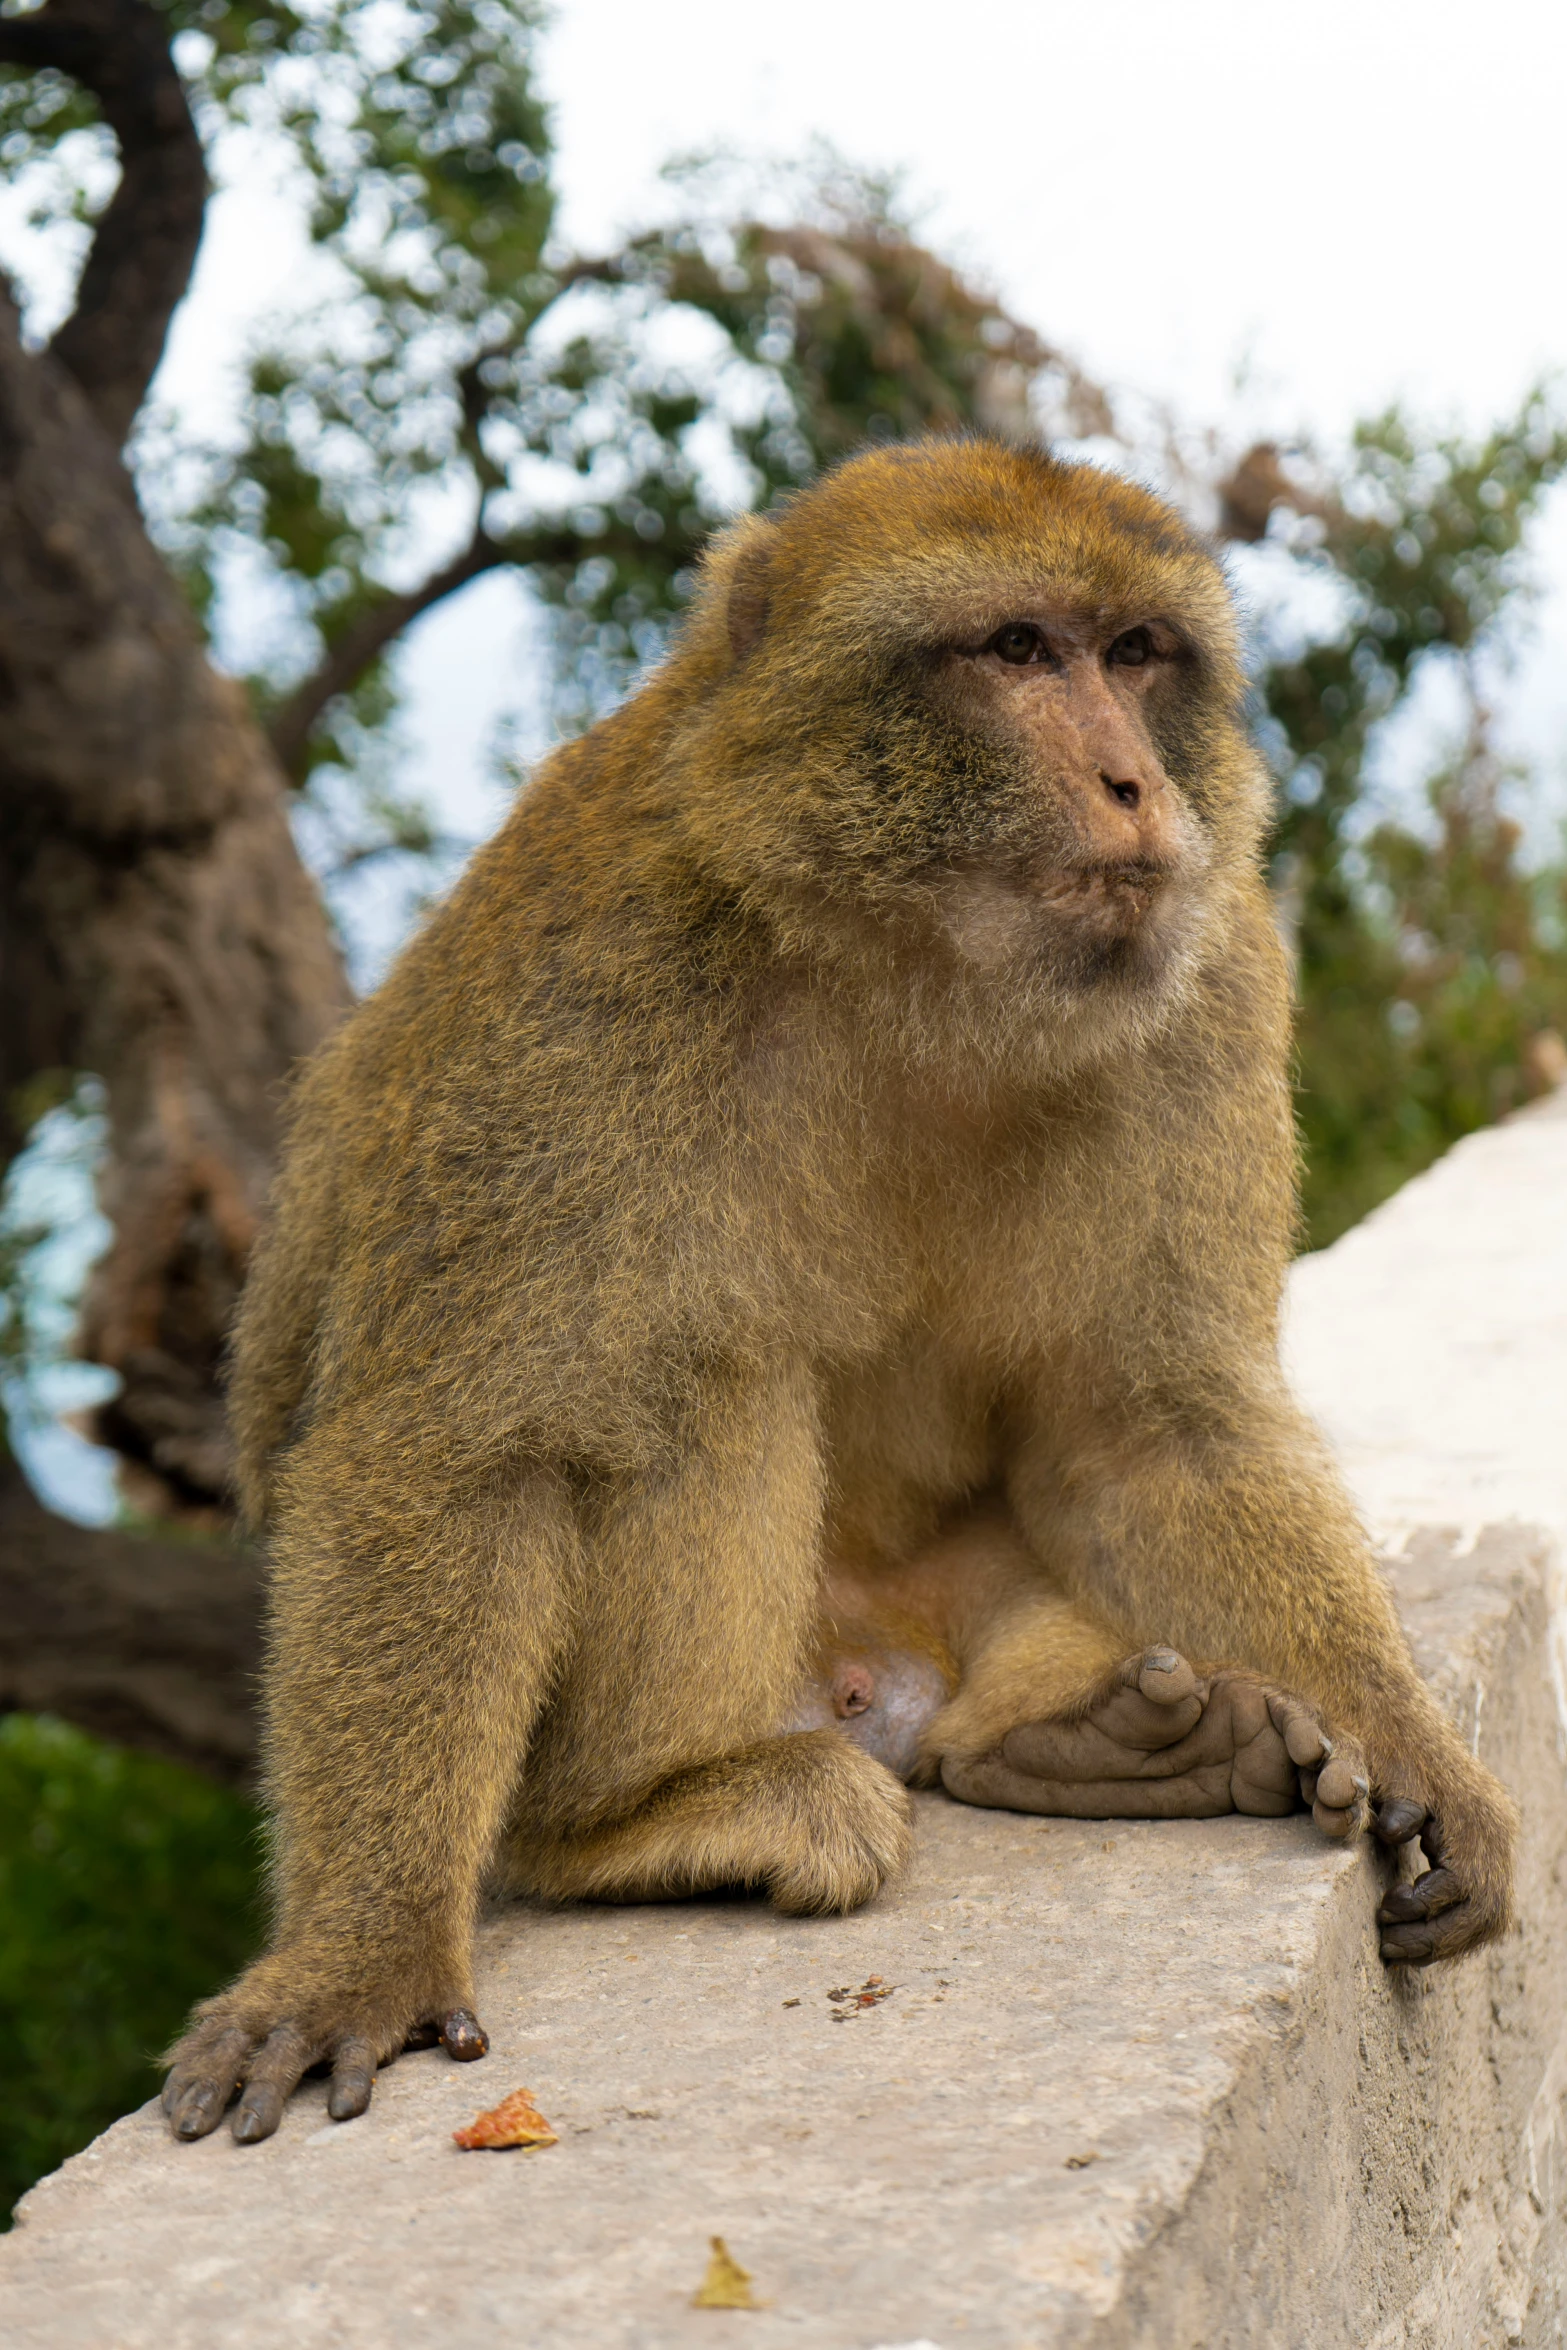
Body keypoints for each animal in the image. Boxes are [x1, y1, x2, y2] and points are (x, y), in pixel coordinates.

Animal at [162, 437, 1522, 2152]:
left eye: (1136, 654)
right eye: (1016, 650)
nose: (1132, 783)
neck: (911, 962)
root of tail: (875, 1676)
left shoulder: (1207, 974)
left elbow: (1155, 1424)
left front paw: (1420, 1759)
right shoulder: (588, 976)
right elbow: (458, 1451)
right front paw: (363, 1950)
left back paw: (1101, 1740)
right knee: (695, 1379)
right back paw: (644, 1815)